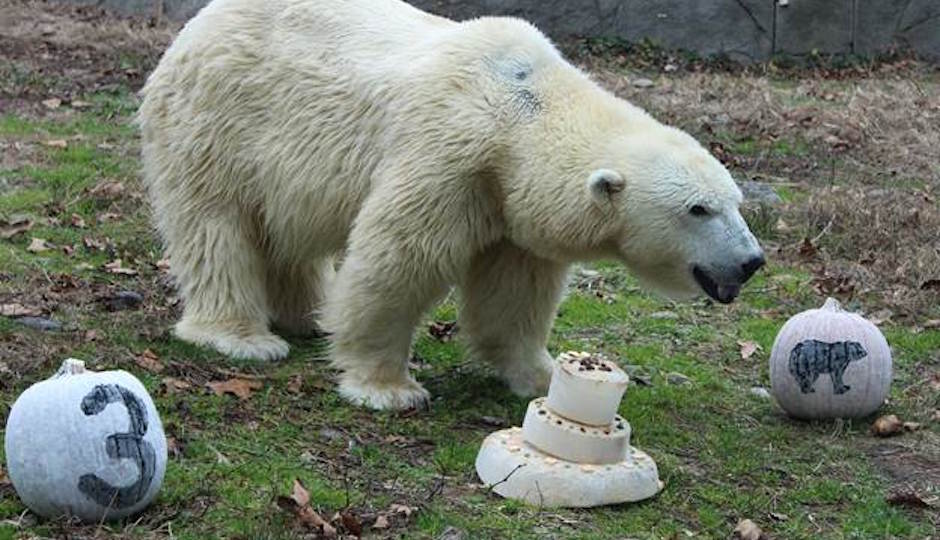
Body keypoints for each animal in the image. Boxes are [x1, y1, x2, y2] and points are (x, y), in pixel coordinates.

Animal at [138, 0, 765, 410]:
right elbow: (401, 257)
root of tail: (196, 24)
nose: (751, 261)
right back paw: (242, 336)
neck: (522, 110)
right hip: (219, 116)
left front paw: (539, 374)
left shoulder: (513, 206)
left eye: (736, 201)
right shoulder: (450, 155)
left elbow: (513, 292)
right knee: (216, 224)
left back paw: (308, 315)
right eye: (697, 210)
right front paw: (388, 388)